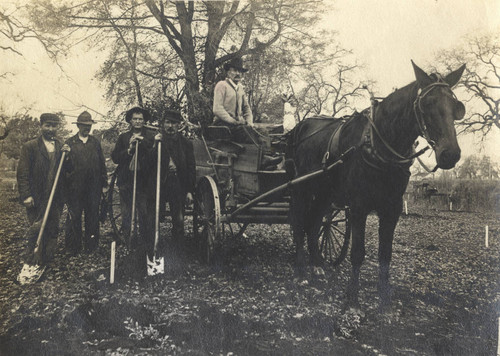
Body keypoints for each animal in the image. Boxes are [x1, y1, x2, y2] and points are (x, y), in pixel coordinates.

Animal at [288, 61, 466, 308]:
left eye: (456, 106)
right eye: (427, 103)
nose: (450, 154)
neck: (377, 143)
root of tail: (302, 126)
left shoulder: (392, 207)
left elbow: (385, 254)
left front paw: (384, 297)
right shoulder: (358, 206)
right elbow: (357, 252)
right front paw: (352, 296)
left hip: (326, 194)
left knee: (314, 223)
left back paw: (317, 265)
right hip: (302, 189)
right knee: (298, 223)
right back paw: (301, 271)